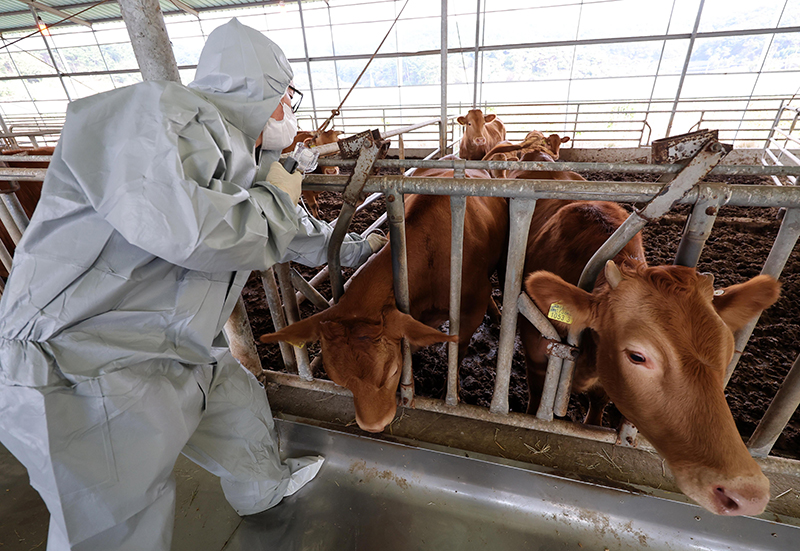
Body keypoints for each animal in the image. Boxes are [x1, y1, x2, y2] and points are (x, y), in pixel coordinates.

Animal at [262, 166, 512, 434]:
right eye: (340, 380)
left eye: (392, 372)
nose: (373, 426)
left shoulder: (472, 308)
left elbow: (456, 349)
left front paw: (451, 392)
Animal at [516, 139, 780, 516]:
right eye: (637, 356)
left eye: (727, 352)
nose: (747, 492)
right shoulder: (537, 354)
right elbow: (537, 394)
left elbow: (600, 400)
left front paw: (593, 425)